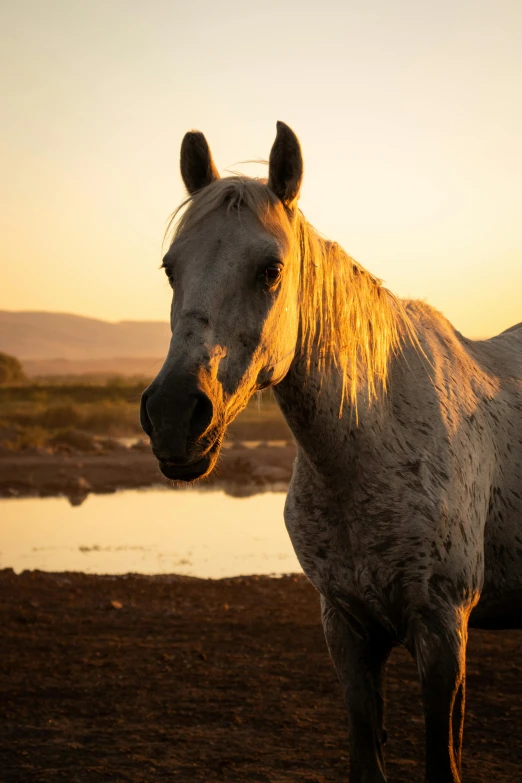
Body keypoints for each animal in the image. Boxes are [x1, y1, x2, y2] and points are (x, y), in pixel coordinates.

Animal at [140, 122, 520, 783]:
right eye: (170, 268)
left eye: (271, 269)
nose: (172, 416)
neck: (367, 454)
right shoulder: (345, 627)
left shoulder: (443, 628)